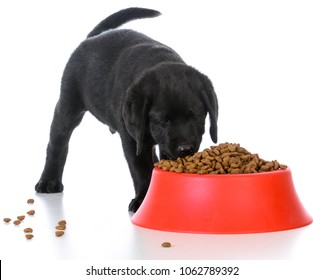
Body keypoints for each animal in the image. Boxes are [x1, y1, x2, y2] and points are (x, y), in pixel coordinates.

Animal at [35, 7, 219, 211]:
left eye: (196, 116)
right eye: (162, 121)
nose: (185, 149)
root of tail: (94, 37)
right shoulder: (132, 138)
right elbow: (141, 169)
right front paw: (143, 200)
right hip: (68, 105)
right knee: (57, 142)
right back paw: (49, 181)